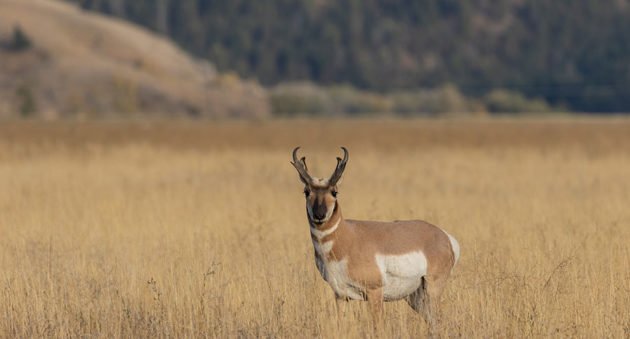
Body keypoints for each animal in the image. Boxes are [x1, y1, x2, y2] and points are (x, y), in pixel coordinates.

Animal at [292, 147, 460, 334]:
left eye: (334, 192)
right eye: (306, 192)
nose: (319, 215)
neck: (346, 237)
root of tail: (445, 236)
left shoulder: (375, 292)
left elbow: (377, 328)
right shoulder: (340, 295)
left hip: (432, 289)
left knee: (437, 320)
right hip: (415, 297)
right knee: (432, 322)